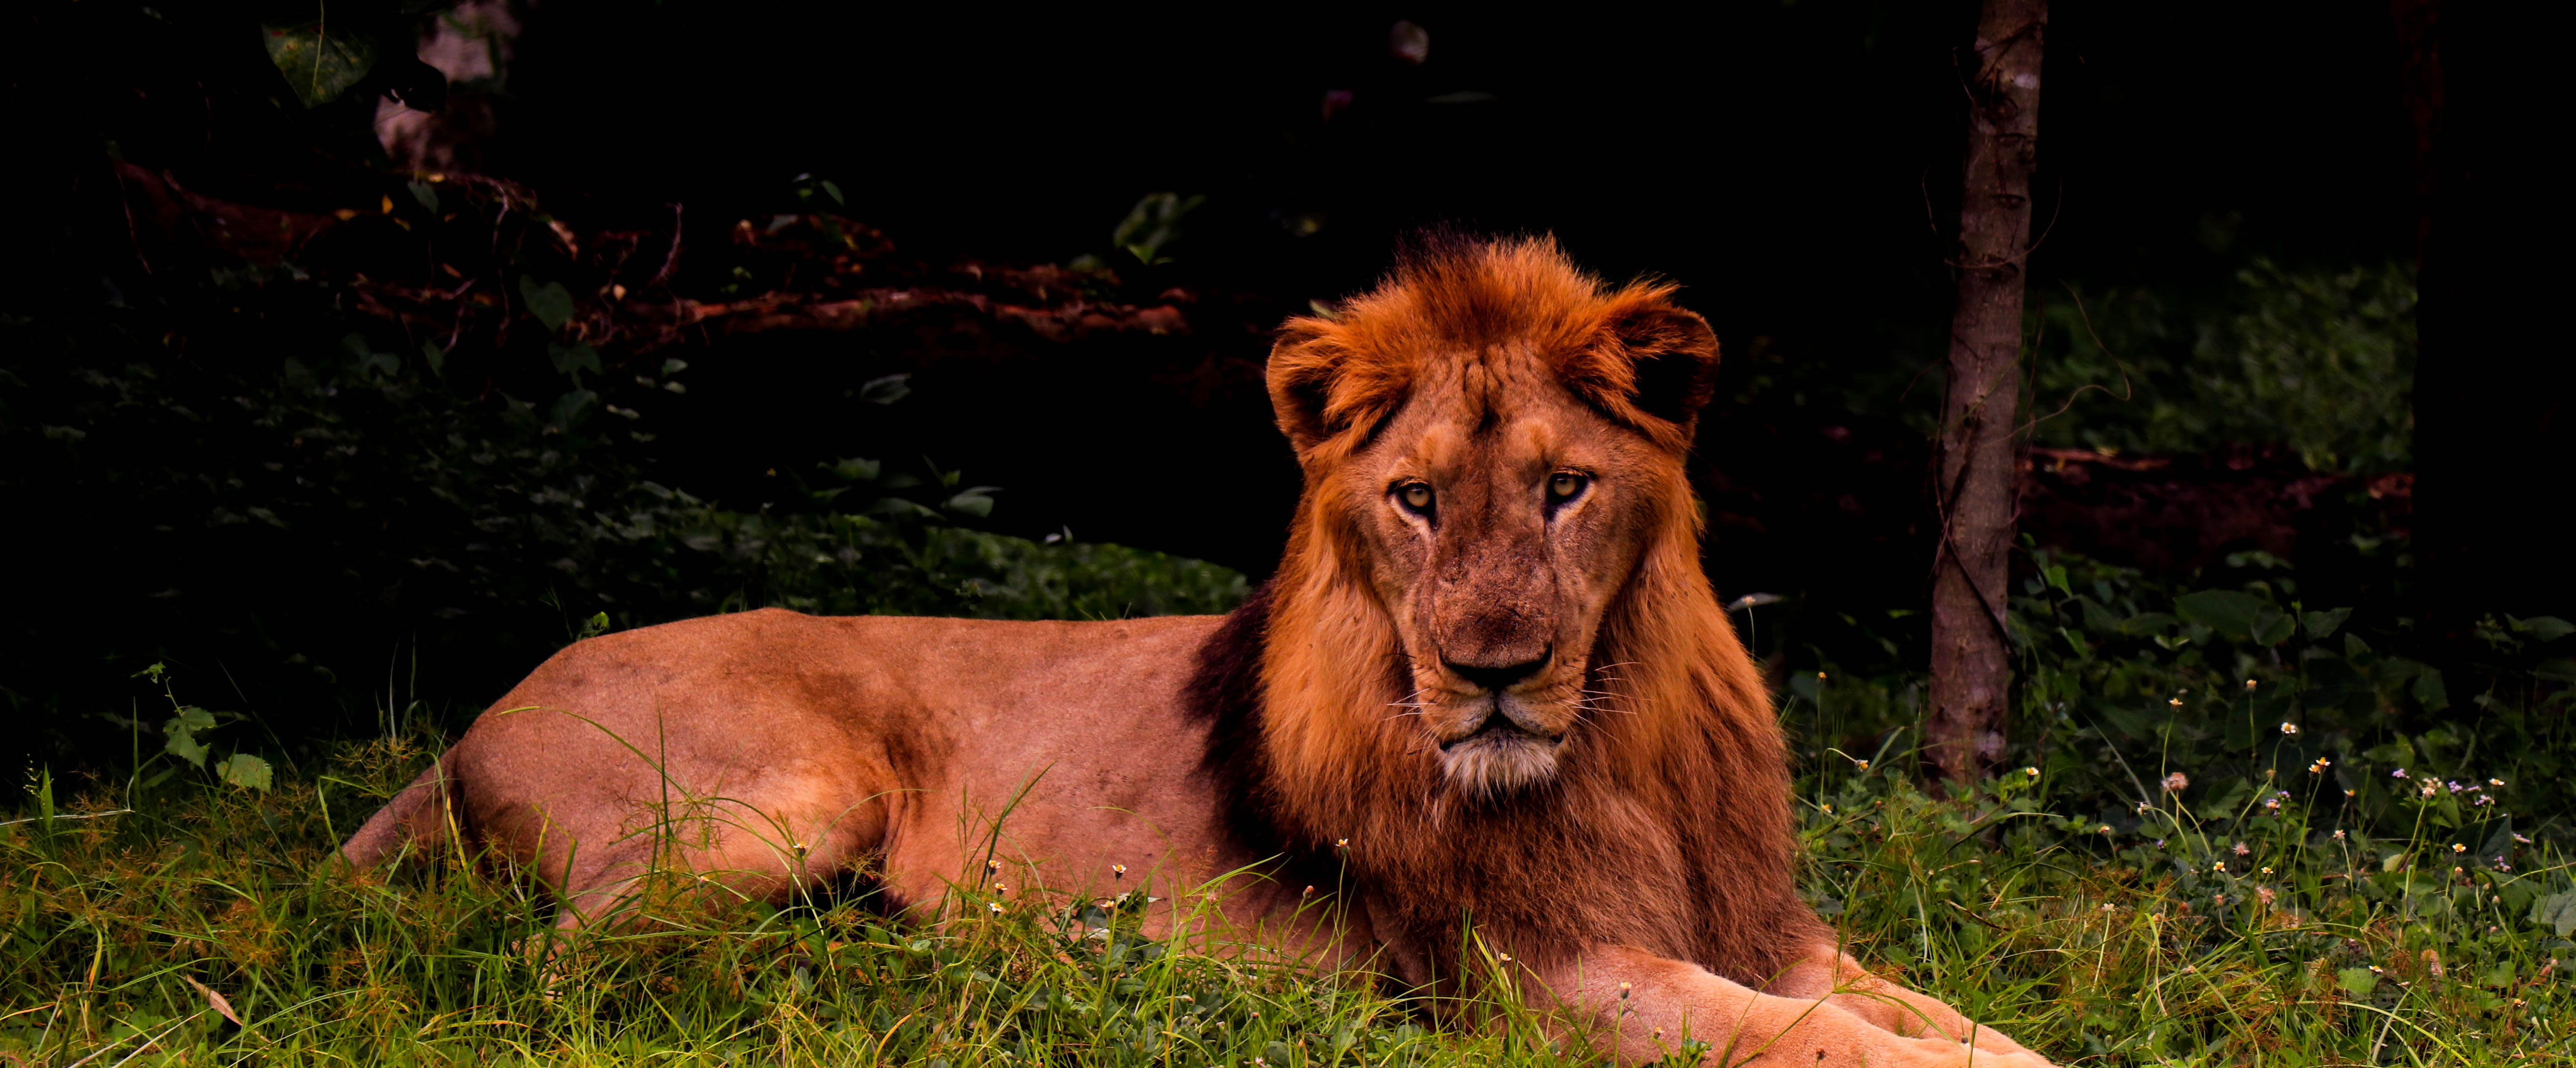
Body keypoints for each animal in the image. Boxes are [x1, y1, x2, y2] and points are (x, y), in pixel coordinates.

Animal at [347, 236, 2050, 1068]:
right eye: (1415, 500)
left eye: (1564, 489)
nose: (1491, 671)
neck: (1615, 748)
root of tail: (481, 708)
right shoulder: (1530, 977)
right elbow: (1820, 1042)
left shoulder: (1758, 926)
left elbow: (1926, 1013)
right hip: (781, 802)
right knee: (561, 977)